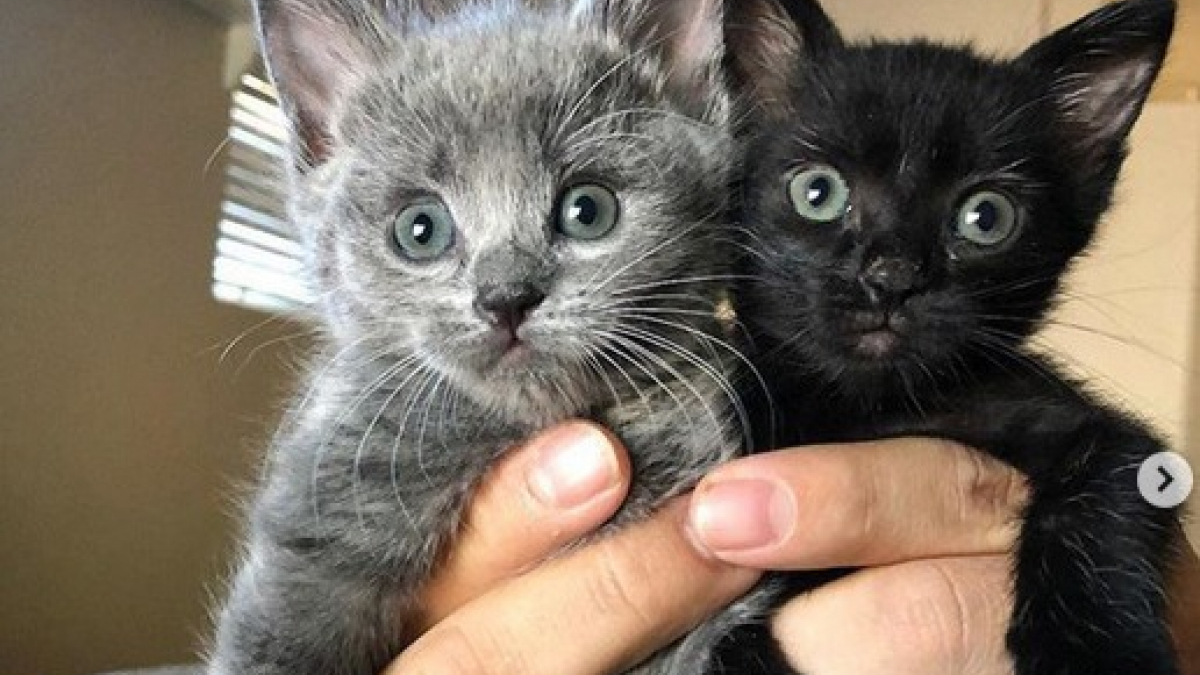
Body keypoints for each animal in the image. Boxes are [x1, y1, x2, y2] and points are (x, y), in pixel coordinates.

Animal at [720, 1, 1180, 672]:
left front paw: (1102, 653)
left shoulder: (1102, 433)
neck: (871, 409)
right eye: (817, 192)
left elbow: (1098, 503)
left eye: (986, 217)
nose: (891, 277)